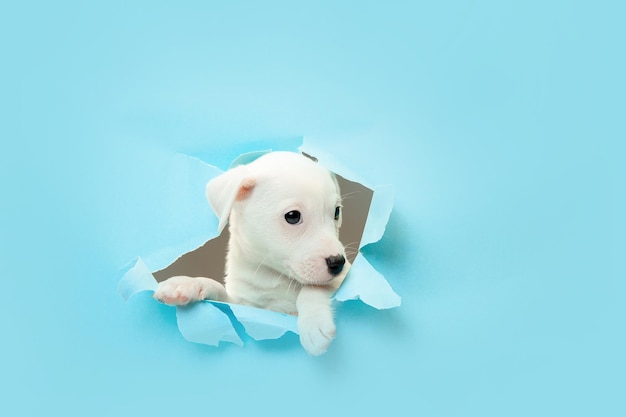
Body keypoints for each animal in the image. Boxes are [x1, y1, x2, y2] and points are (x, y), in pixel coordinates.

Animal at [151, 151, 346, 356]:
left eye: (336, 212)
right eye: (292, 216)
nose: (337, 263)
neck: (273, 276)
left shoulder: (343, 277)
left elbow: (313, 288)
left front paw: (314, 324)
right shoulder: (246, 308)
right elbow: (218, 290)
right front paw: (188, 283)